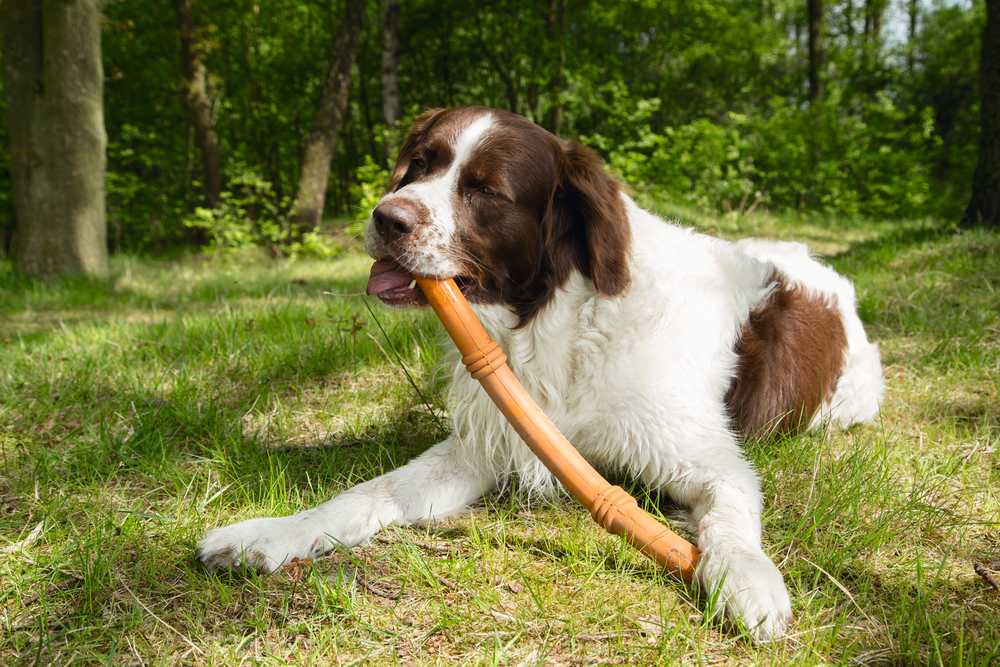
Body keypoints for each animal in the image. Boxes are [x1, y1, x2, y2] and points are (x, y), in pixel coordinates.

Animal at [197, 108, 884, 640]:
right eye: (420, 163)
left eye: (484, 191)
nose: (386, 216)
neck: (561, 322)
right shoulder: (482, 446)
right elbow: (367, 494)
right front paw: (270, 534)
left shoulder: (711, 461)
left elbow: (730, 520)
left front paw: (748, 581)